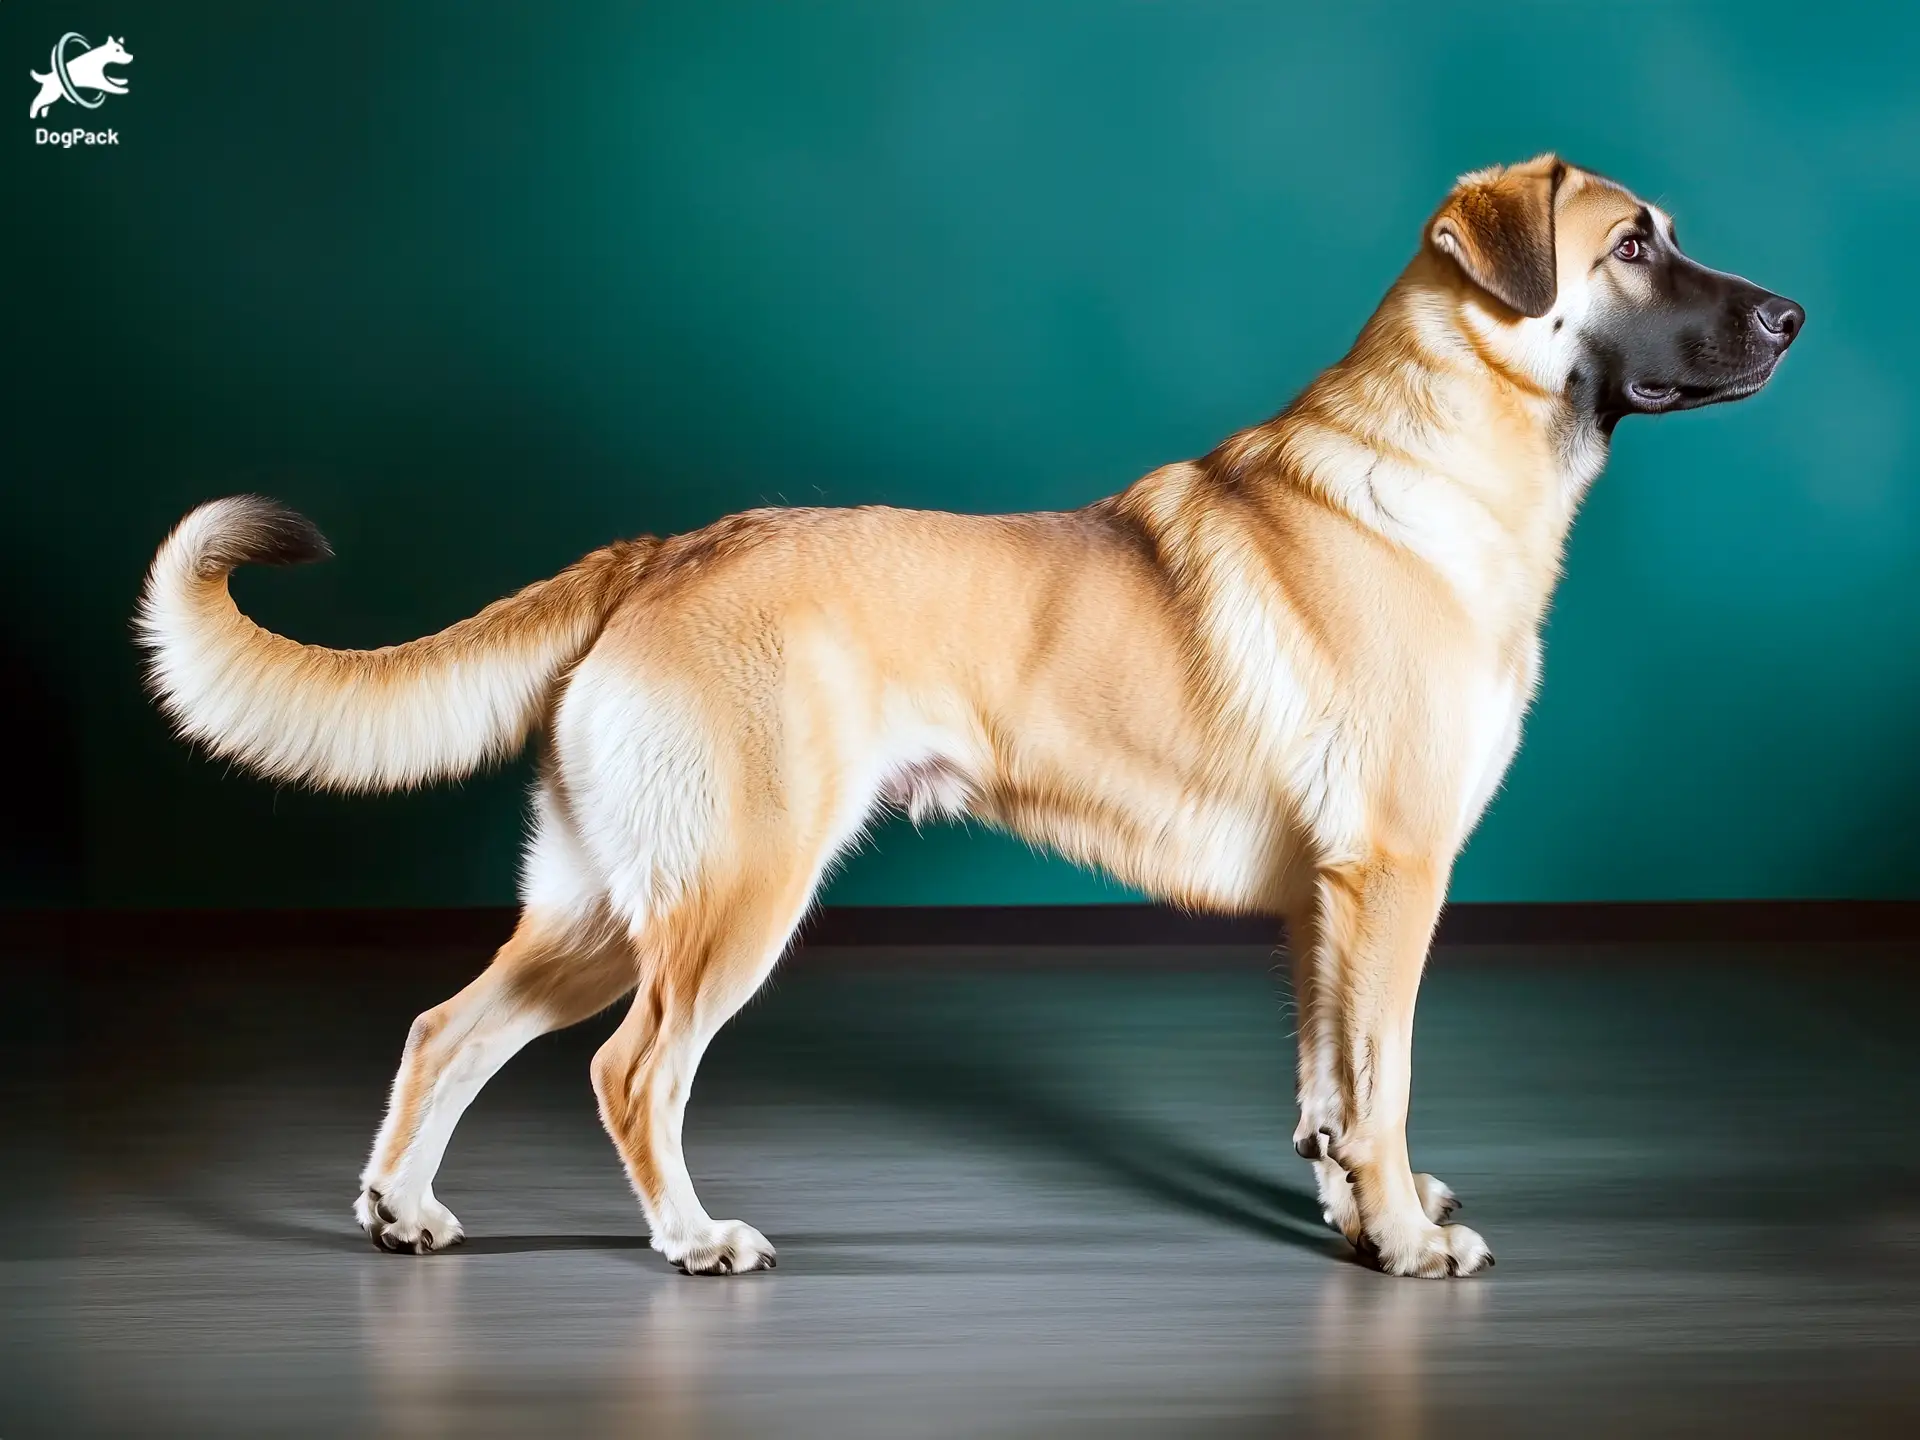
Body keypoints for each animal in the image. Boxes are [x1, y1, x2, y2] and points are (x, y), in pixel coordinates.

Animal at [135, 157, 1797, 1282]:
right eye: (1634, 242)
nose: (1790, 314)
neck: (1443, 455)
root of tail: (664, 551)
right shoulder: (1391, 875)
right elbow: (1379, 1080)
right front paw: (1403, 1239)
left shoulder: (1326, 903)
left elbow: (1331, 1084)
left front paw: (1351, 1212)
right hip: (733, 896)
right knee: (631, 1073)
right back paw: (694, 1238)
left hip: (608, 898)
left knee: (447, 1029)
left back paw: (403, 1209)